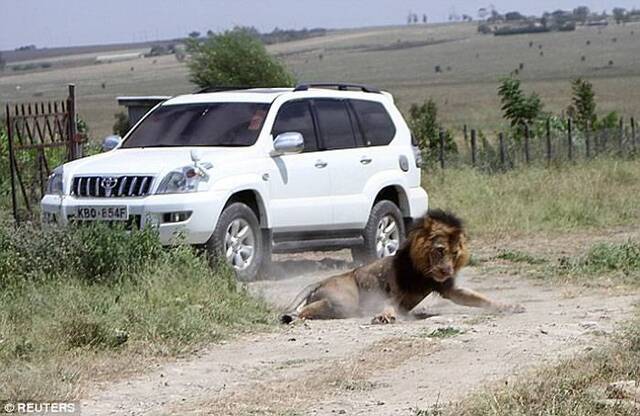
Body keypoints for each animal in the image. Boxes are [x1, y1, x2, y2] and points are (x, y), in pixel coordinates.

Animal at [280, 210, 524, 324]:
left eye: (455, 253)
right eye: (440, 250)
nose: (447, 271)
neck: (424, 271)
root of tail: (322, 279)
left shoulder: (449, 288)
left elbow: (480, 298)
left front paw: (509, 306)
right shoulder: (393, 290)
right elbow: (388, 304)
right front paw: (385, 316)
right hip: (344, 301)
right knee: (310, 308)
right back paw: (295, 317)